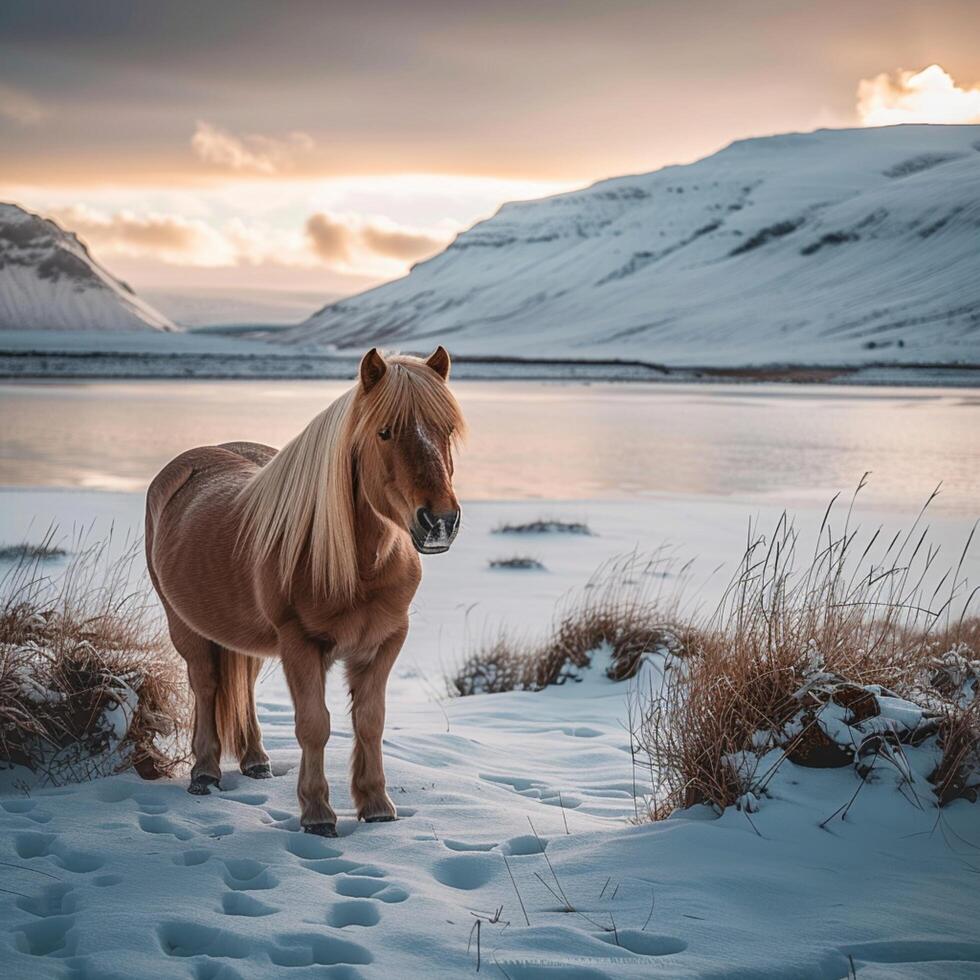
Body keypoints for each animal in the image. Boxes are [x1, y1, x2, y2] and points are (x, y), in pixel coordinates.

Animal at [146, 346, 468, 836]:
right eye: (384, 432)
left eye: (446, 429)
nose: (440, 523)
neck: (354, 563)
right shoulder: (300, 644)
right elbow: (314, 725)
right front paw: (317, 813)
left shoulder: (386, 640)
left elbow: (370, 722)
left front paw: (377, 805)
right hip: (184, 625)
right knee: (205, 684)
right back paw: (204, 772)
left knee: (244, 686)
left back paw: (256, 761)